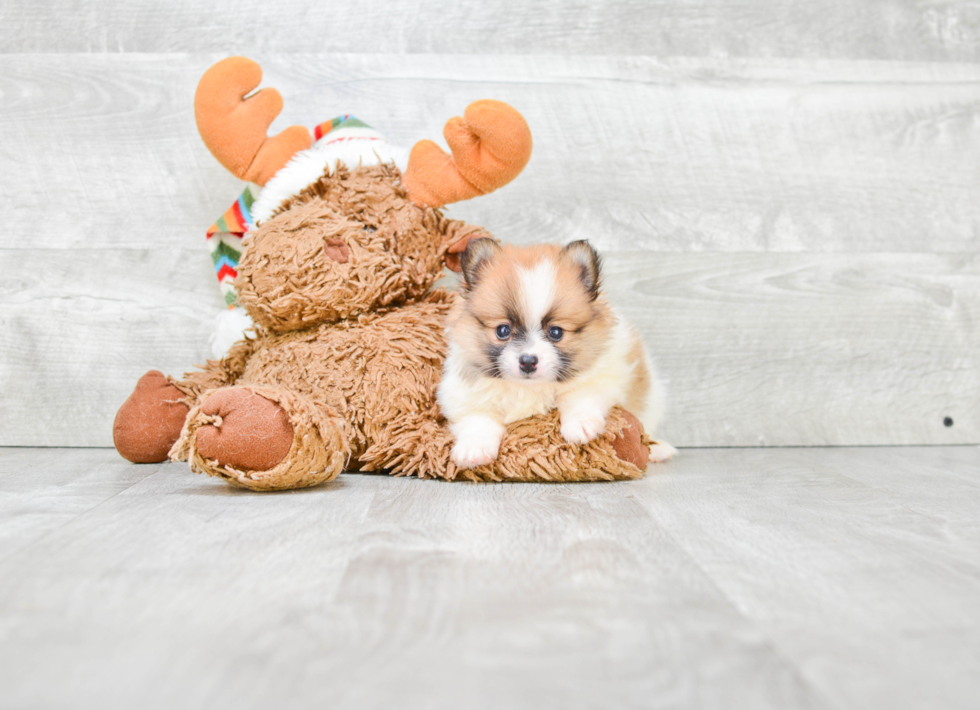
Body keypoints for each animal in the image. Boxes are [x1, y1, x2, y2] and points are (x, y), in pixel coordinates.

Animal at [436, 241, 672, 472]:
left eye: (556, 332)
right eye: (502, 330)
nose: (528, 361)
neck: (529, 388)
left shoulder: (603, 376)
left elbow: (578, 395)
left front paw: (580, 425)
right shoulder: (464, 396)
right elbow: (477, 420)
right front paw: (473, 448)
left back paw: (658, 449)